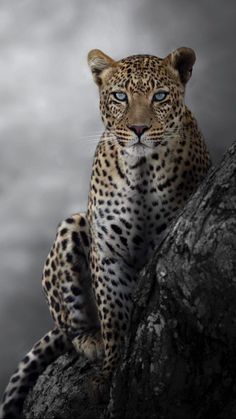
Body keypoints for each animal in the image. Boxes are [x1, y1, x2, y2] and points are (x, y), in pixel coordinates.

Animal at [0, 47, 210, 418]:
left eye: (160, 96)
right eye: (120, 97)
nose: (138, 128)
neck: (142, 170)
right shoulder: (108, 253)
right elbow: (113, 318)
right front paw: (108, 373)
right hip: (72, 226)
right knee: (70, 329)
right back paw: (89, 339)